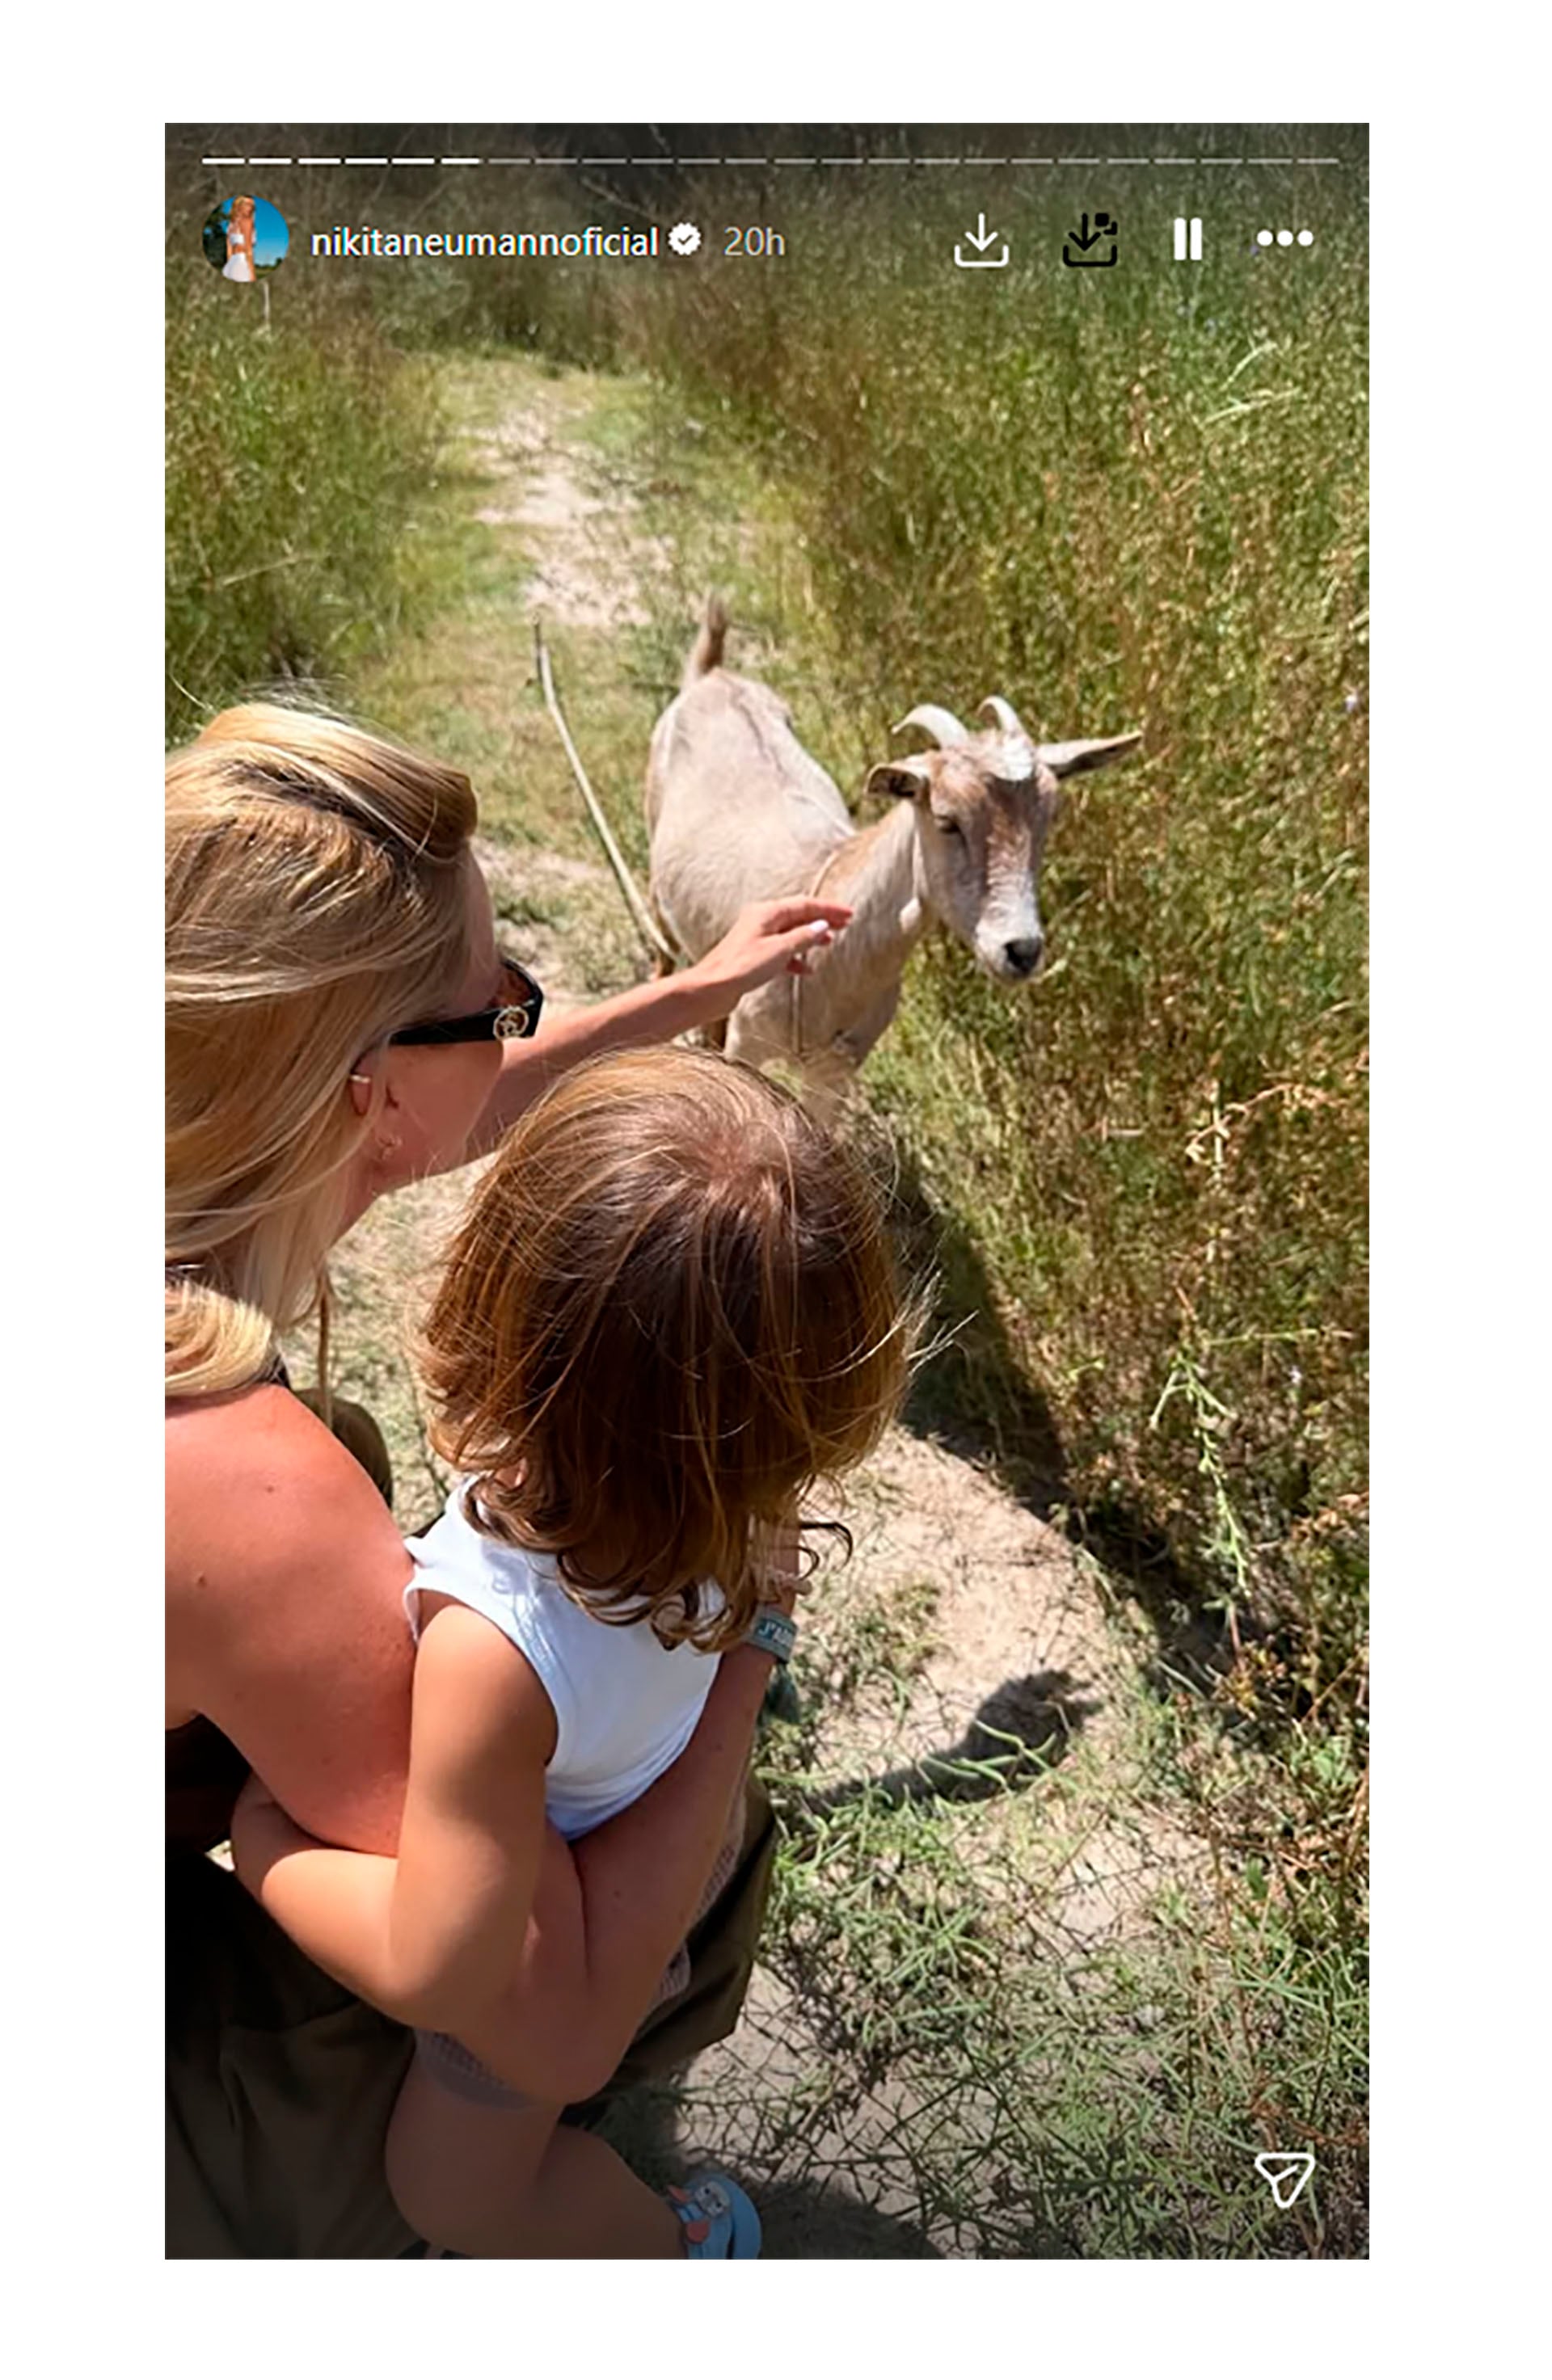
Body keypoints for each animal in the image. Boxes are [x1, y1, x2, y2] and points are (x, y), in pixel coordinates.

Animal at [644, 599, 1141, 1115]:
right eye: (946, 819)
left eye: (1050, 815)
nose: (1021, 949)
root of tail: (713, 674)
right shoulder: (750, 1042)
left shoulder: (835, 1071)